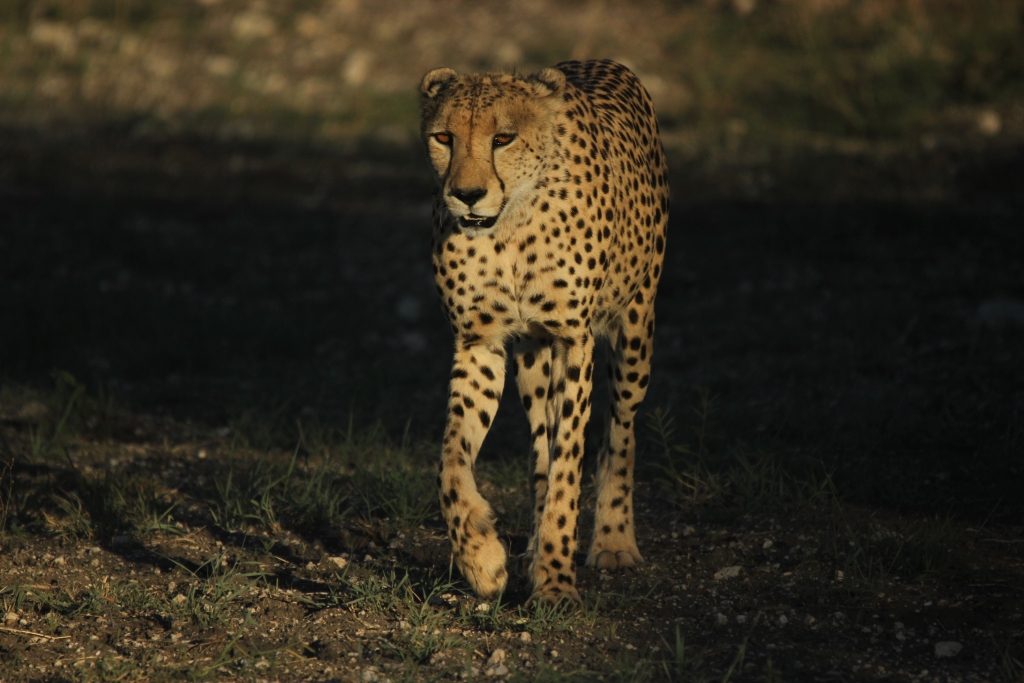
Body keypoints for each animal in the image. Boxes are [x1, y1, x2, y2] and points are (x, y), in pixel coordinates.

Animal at [419, 59, 669, 605]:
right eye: (444, 137)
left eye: (503, 138)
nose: (466, 195)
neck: (508, 227)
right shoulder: (480, 342)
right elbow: (450, 460)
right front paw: (481, 559)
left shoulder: (575, 341)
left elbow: (569, 466)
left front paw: (556, 581)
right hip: (533, 361)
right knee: (540, 445)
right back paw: (532, 548)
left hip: (636, 330)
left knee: (619, 434)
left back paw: (612, 540)